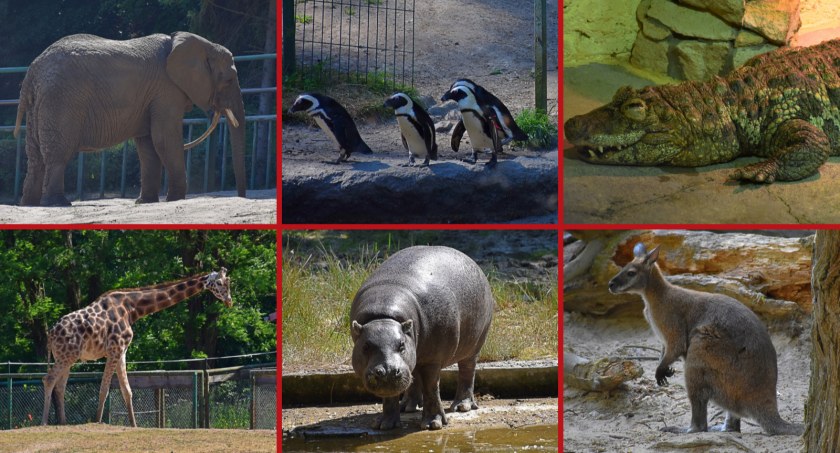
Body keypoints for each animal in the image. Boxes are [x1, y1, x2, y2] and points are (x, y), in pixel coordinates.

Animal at [13, 32, 246, 207]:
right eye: (229, 80)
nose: (241, 197)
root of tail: (32, 71)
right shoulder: (166, 91)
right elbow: (164, 139)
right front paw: (176, 199)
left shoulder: (152, 96)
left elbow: (148, 144)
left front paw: (145, 202)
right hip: (61, 101)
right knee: (58, 154)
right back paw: (58, 203)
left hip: (40, 104)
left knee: (35, 157)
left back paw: (29, 204)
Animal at [41, 266, 231, 426]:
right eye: (220, 283)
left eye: (229, 282)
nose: (229, 301)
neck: (133, 309)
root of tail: (50, 334)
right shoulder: (114, 349)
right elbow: (104, 388)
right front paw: (97, 421)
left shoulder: (122, 351)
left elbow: (127, 390)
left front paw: (134, 425)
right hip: (67, 356)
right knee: (48, 379)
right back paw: (44, 422)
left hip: (66, 357)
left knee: (60, 386)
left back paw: (63, 422)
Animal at [350, 245, 496, 430]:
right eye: (365, 346)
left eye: (401, 345)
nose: (388, 371)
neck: (383, 316)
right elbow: (390, 395)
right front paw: (384, 425)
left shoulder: (432, 359)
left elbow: (431, 387)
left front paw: (433, 424)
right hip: (418, 355)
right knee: (414, 375)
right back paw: (407, 407)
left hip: (474, 345)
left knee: (467, 371)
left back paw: (461, 406)